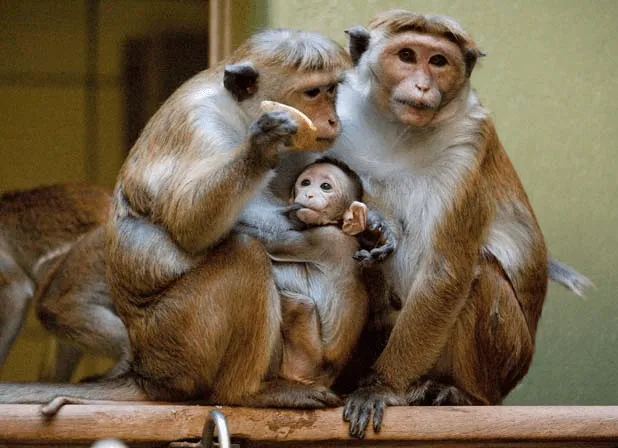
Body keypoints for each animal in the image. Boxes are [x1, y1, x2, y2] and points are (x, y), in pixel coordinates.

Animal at [324, 11, 556, 438]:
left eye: (438, 61)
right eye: (407, 55)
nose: (422, 85)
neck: (398, 134)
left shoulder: (467, 147)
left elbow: (445, 273)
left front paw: (381, 387)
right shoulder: (342, 121)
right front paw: (375, 226)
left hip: (509, 354)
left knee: (481, 275)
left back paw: (459, 394)